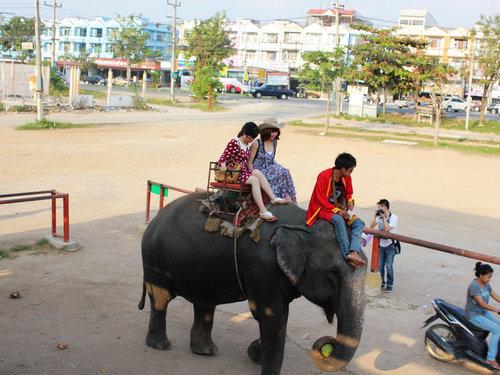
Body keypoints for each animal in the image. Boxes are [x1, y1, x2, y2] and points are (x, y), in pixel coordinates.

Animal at [139, 194, 366, 375]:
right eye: (335, 272)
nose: (329, 344)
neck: (302, 223)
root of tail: (154, 219)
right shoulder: (262, 268)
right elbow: (271, 317)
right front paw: (265, 363)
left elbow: (272, 320)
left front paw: (255, 352)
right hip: (153, 258)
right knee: (161, 298)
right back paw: (160, 346)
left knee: (205, 303)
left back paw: (205, 351)